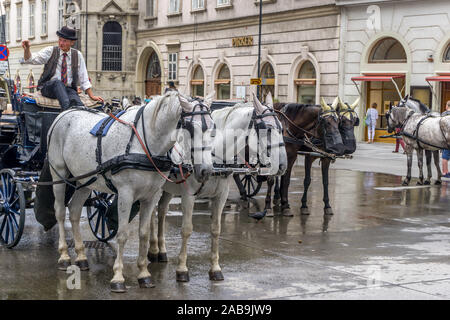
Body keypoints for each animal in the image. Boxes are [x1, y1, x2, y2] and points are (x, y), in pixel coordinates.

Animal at [46, 90, 215, 292]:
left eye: (213, 128)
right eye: (190, 127)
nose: (206, 171)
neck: (146, 143)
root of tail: (65, 113)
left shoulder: (151, 196)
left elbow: (144, 233)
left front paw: (144, 274)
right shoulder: (125, 194)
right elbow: (122, 234)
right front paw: (118, 277)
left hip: (85, 180)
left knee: (74, 211)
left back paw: (81, 257)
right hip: (59, 174)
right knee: (60, 212)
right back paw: (64, 256)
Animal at [149, 92, 286, 282]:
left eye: (281, 128)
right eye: (268, 129)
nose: (283, 165)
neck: (215, 159)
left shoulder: (221, 196)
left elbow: (215, 230)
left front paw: (215, 268)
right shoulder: (188, 197)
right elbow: (186, 230)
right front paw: (182, 269)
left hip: (169, 190)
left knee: (161, 212)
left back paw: (161, 251)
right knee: (151, 215)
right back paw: (153, 250)